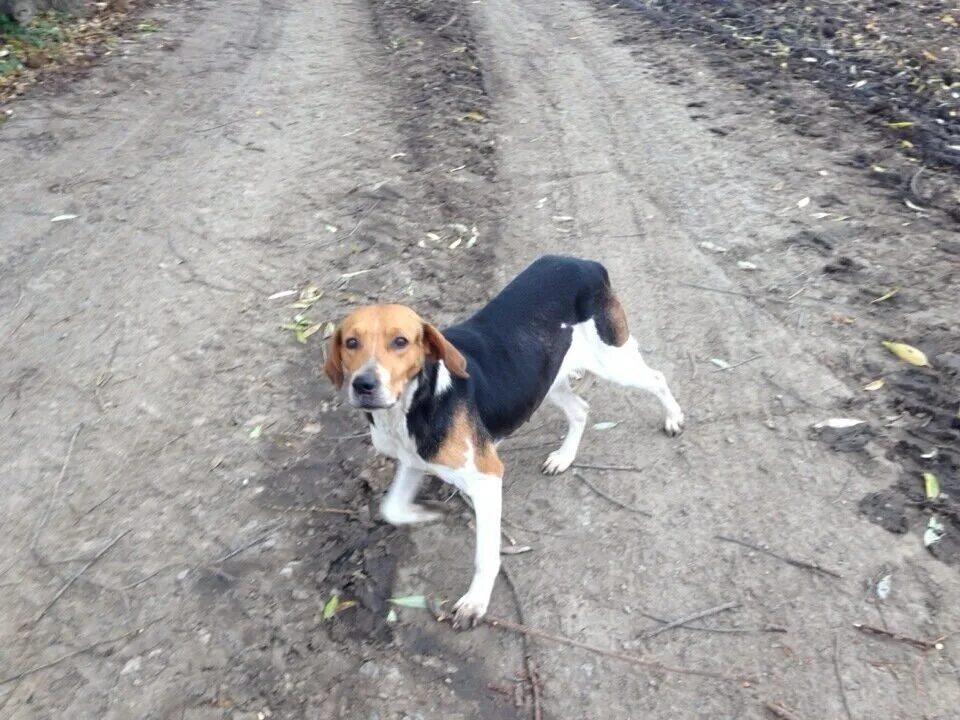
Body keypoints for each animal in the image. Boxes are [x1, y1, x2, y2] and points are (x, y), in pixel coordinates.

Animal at [324, 256, 684, 628]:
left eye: (400, 341)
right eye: (351, 342)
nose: (364, 385)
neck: (414, 404)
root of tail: (585, 263)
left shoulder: (486, 477)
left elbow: (485, 554)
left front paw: (475, 602)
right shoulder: (415, 460)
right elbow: (392, 508)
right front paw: (427, 513)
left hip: (613, 361)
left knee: (657, 379)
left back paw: (673, 418)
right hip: (547, 381)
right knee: (581, 410)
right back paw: (564, 457)